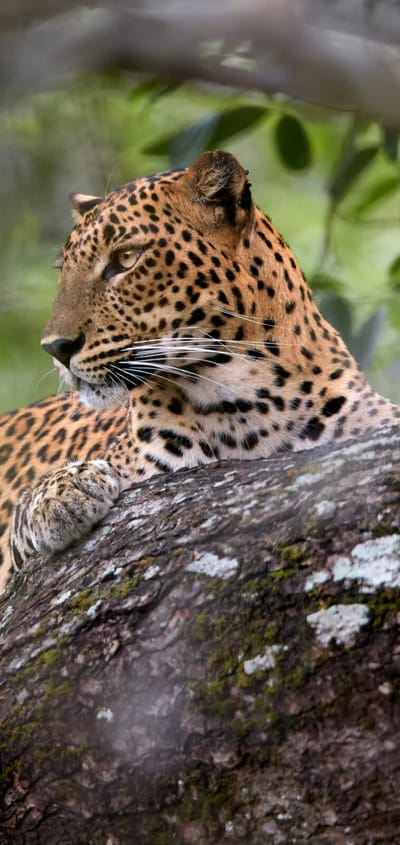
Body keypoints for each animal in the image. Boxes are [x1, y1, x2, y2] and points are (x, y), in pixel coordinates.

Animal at [1, 149, 399, 592]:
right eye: (63, 271)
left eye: (126, 258)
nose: (55, 348)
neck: (249, 403)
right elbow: (28, 511)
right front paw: (65, 492)